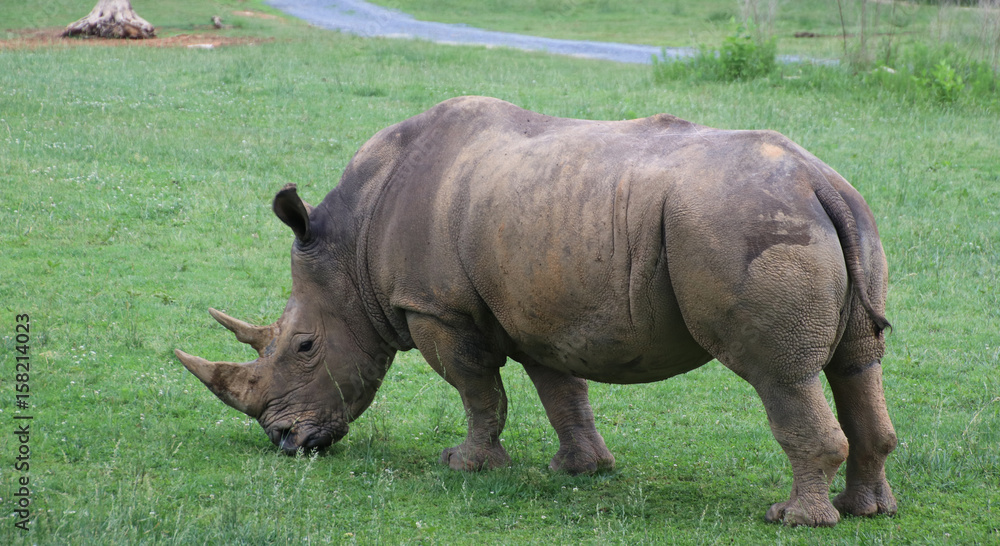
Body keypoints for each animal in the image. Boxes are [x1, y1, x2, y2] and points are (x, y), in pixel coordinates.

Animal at [175, 96, 897, 527]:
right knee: (857, 362)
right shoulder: (545, 312)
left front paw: (466, 466)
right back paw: (867, 510)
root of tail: (816, 181)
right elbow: (561, 390)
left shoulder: (438, 310)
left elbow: (477, 389)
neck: (350, 247)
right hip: (845, 217)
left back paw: (793, 518)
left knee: (780, 375)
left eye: (304, 348)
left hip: (745, 225)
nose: (284, 442)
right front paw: (579, 470)